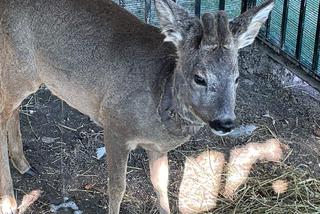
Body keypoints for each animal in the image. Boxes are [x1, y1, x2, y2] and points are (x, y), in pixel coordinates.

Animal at [0, 0, 272, 213]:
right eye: (199, 78)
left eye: (236, 78)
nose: (225, 122)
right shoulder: (114, 126)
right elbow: (118, 187)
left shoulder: (157, 148)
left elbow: (161, 184)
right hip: (19, 67)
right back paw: (10, 202)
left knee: (13, 111)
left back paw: (25, 166)